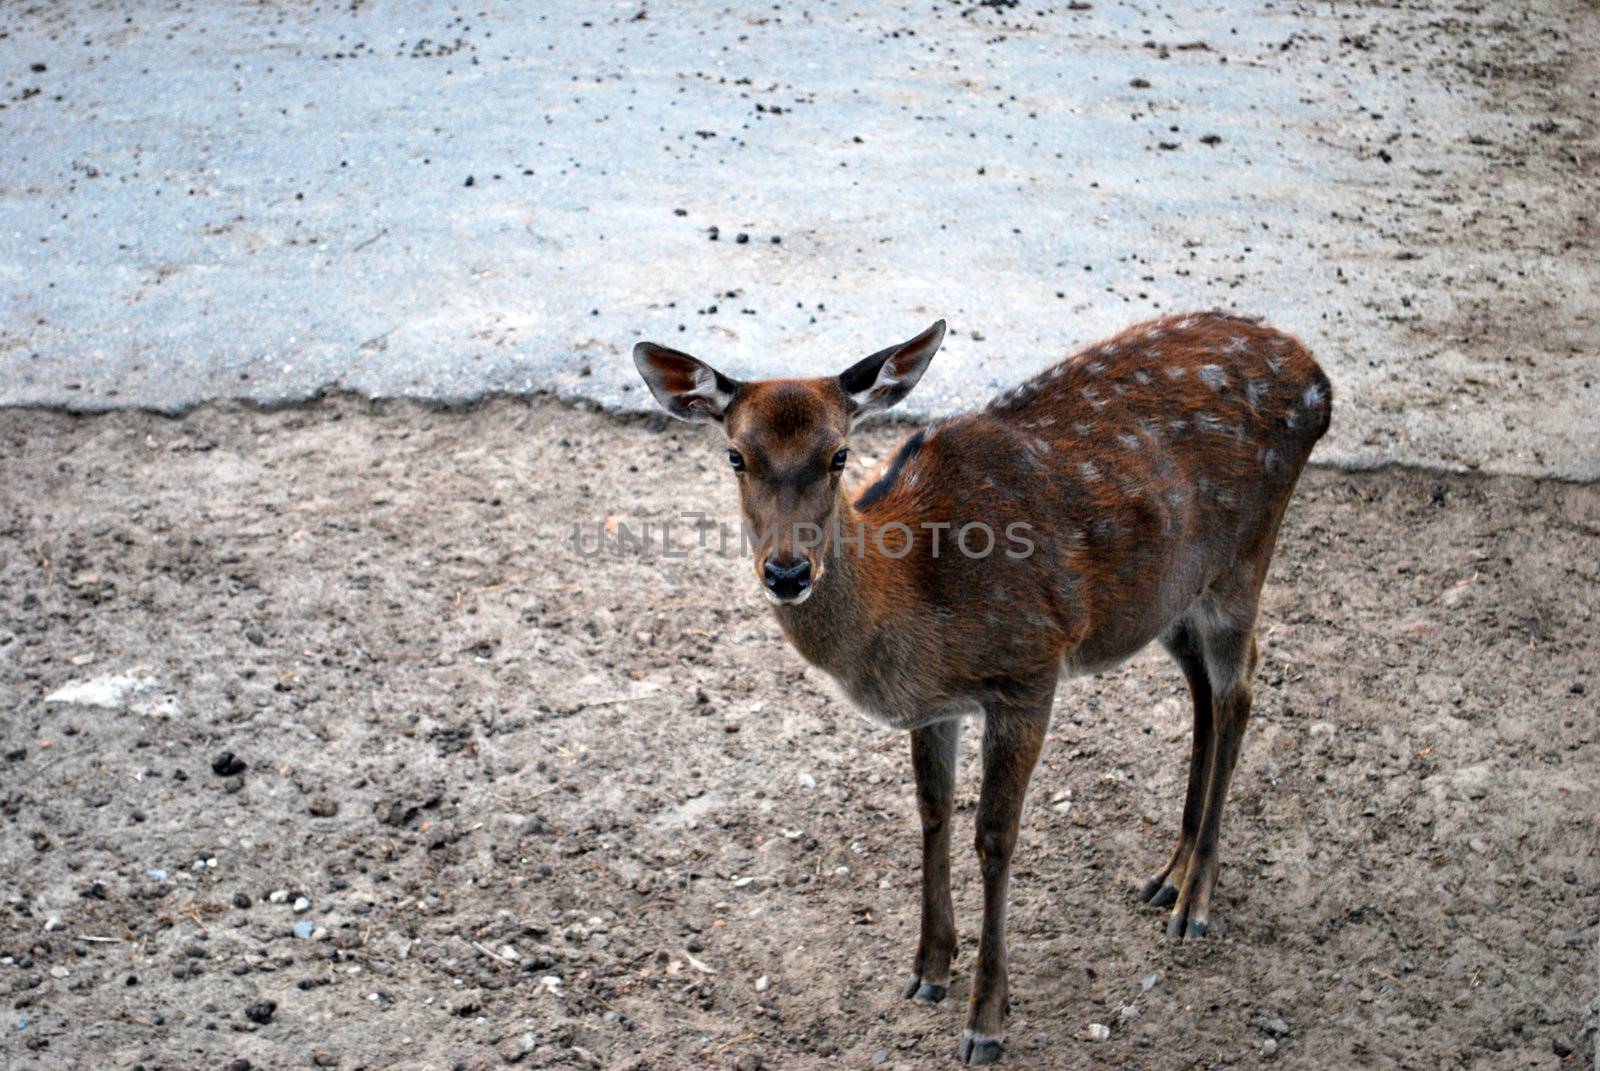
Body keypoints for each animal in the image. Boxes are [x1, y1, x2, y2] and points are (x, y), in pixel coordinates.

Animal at [630, 308, 1331, 1062]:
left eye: (840, 455)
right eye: (736, 456)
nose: (787, 572)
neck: (913, 602)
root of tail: (1318, 375)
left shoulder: (1030, 668)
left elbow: (995, 836)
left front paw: (986, 1019)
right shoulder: (936, 707)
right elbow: (933, 810)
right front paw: (929, 969)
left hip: (1243, 558)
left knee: (1240, 685)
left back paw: (1195, 899)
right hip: (1167, 595)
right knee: (1202, 686)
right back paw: (1169, 873)